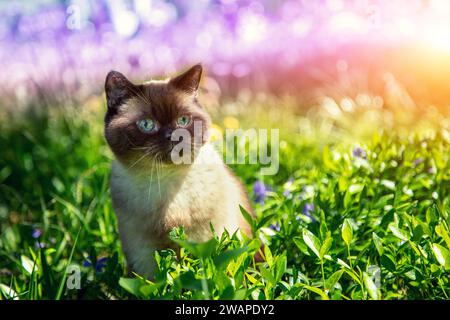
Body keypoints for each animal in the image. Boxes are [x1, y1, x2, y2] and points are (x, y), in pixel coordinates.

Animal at [103, 63, 255, 276]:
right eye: (147, 125)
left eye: (183, 120)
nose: (174, 136)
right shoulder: (143, 253)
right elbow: (157, 281)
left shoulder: (204, 240)